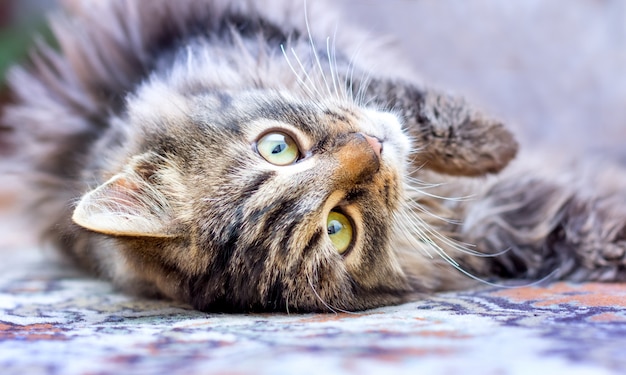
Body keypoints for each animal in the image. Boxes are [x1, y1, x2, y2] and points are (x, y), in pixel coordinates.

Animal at [1, 0, 624, 312]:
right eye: (337, 229)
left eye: (276, 147)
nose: (372, 147)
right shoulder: (504, 225)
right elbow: (596, 221)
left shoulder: (259, 40)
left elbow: (407, 102)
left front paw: (495, 142)